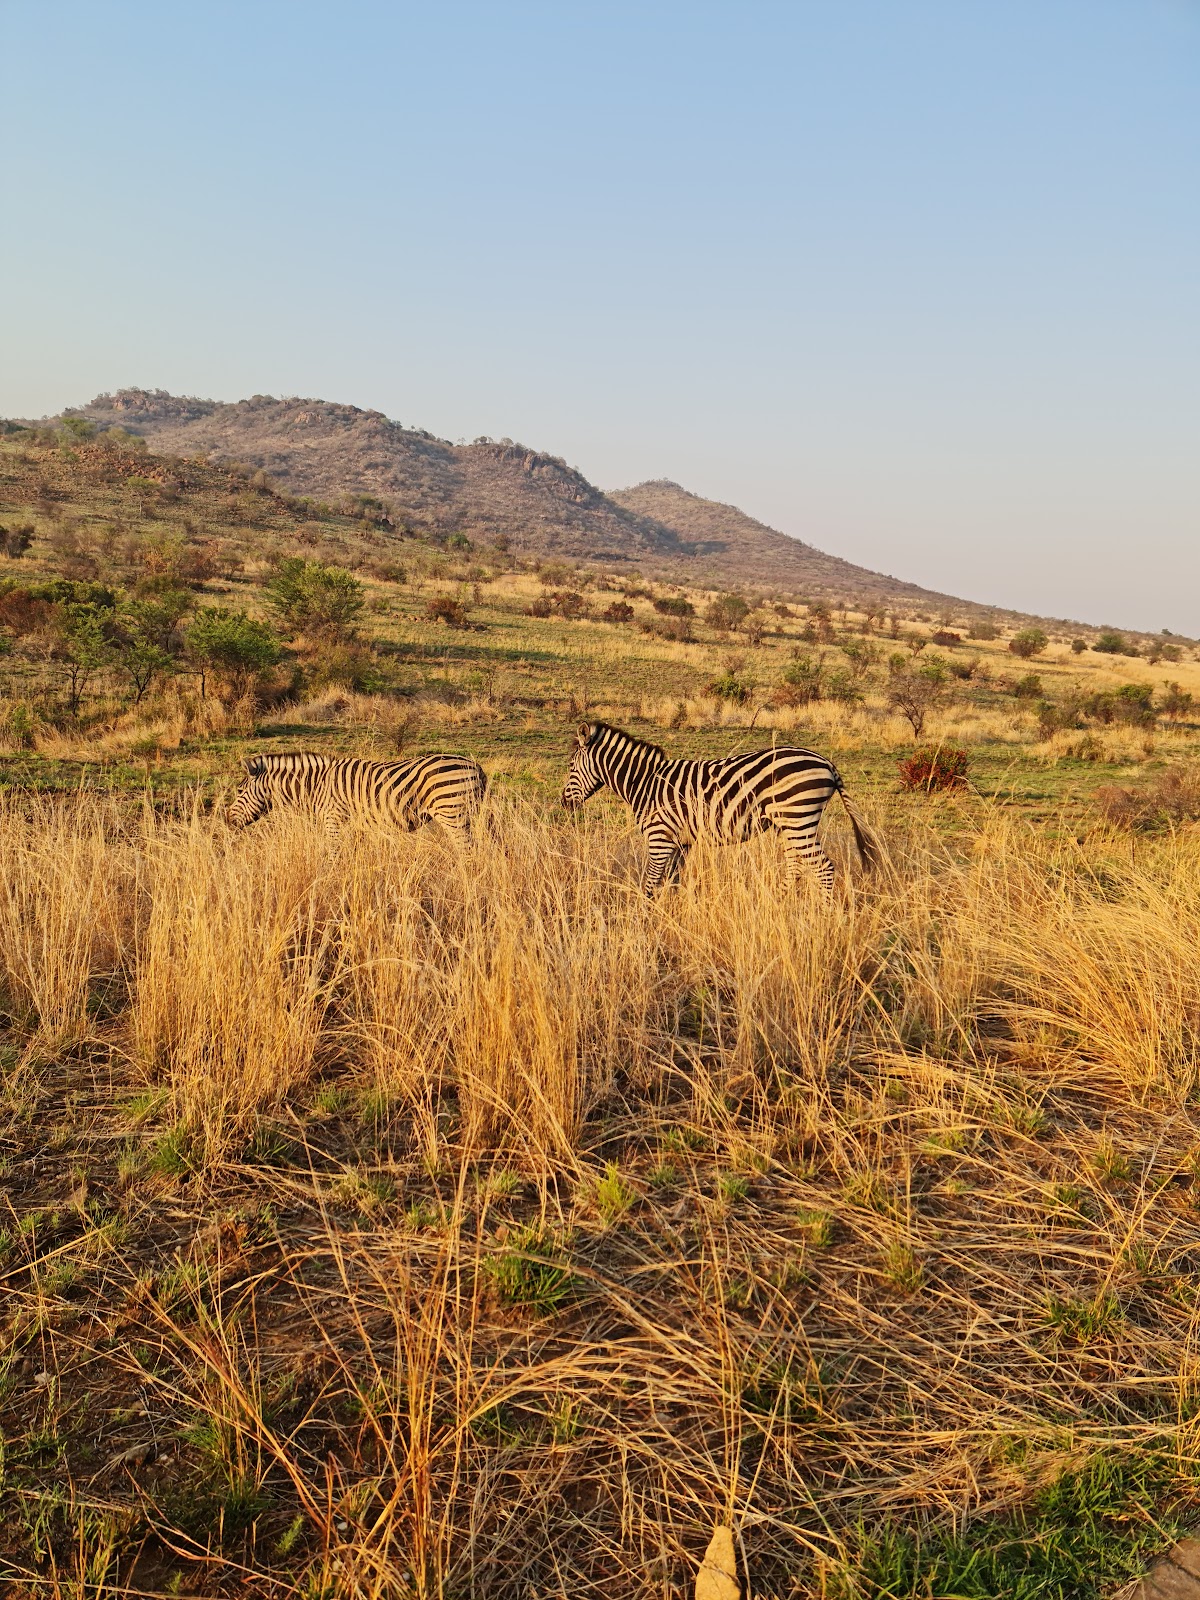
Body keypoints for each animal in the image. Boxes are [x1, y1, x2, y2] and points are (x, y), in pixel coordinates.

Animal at [225, 752, 489, 838]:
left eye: (239, 791)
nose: (226, 821)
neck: (315, 786)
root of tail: (475, 766)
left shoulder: (333, 821)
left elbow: (332, 859)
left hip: (452, 814)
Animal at [560, 723, 876, 896]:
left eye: (572, 766)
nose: (564, 803)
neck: (646, 783)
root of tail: (827, 763)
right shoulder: (680, 843)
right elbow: (672, 882)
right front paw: (673, 915)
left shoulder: (659, 838)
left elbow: (649, 883)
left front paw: (647, 920)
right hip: (791, 824)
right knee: (796, 866)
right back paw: (779, 903)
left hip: (798, 819)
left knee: (822, 869)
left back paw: (822, 917)